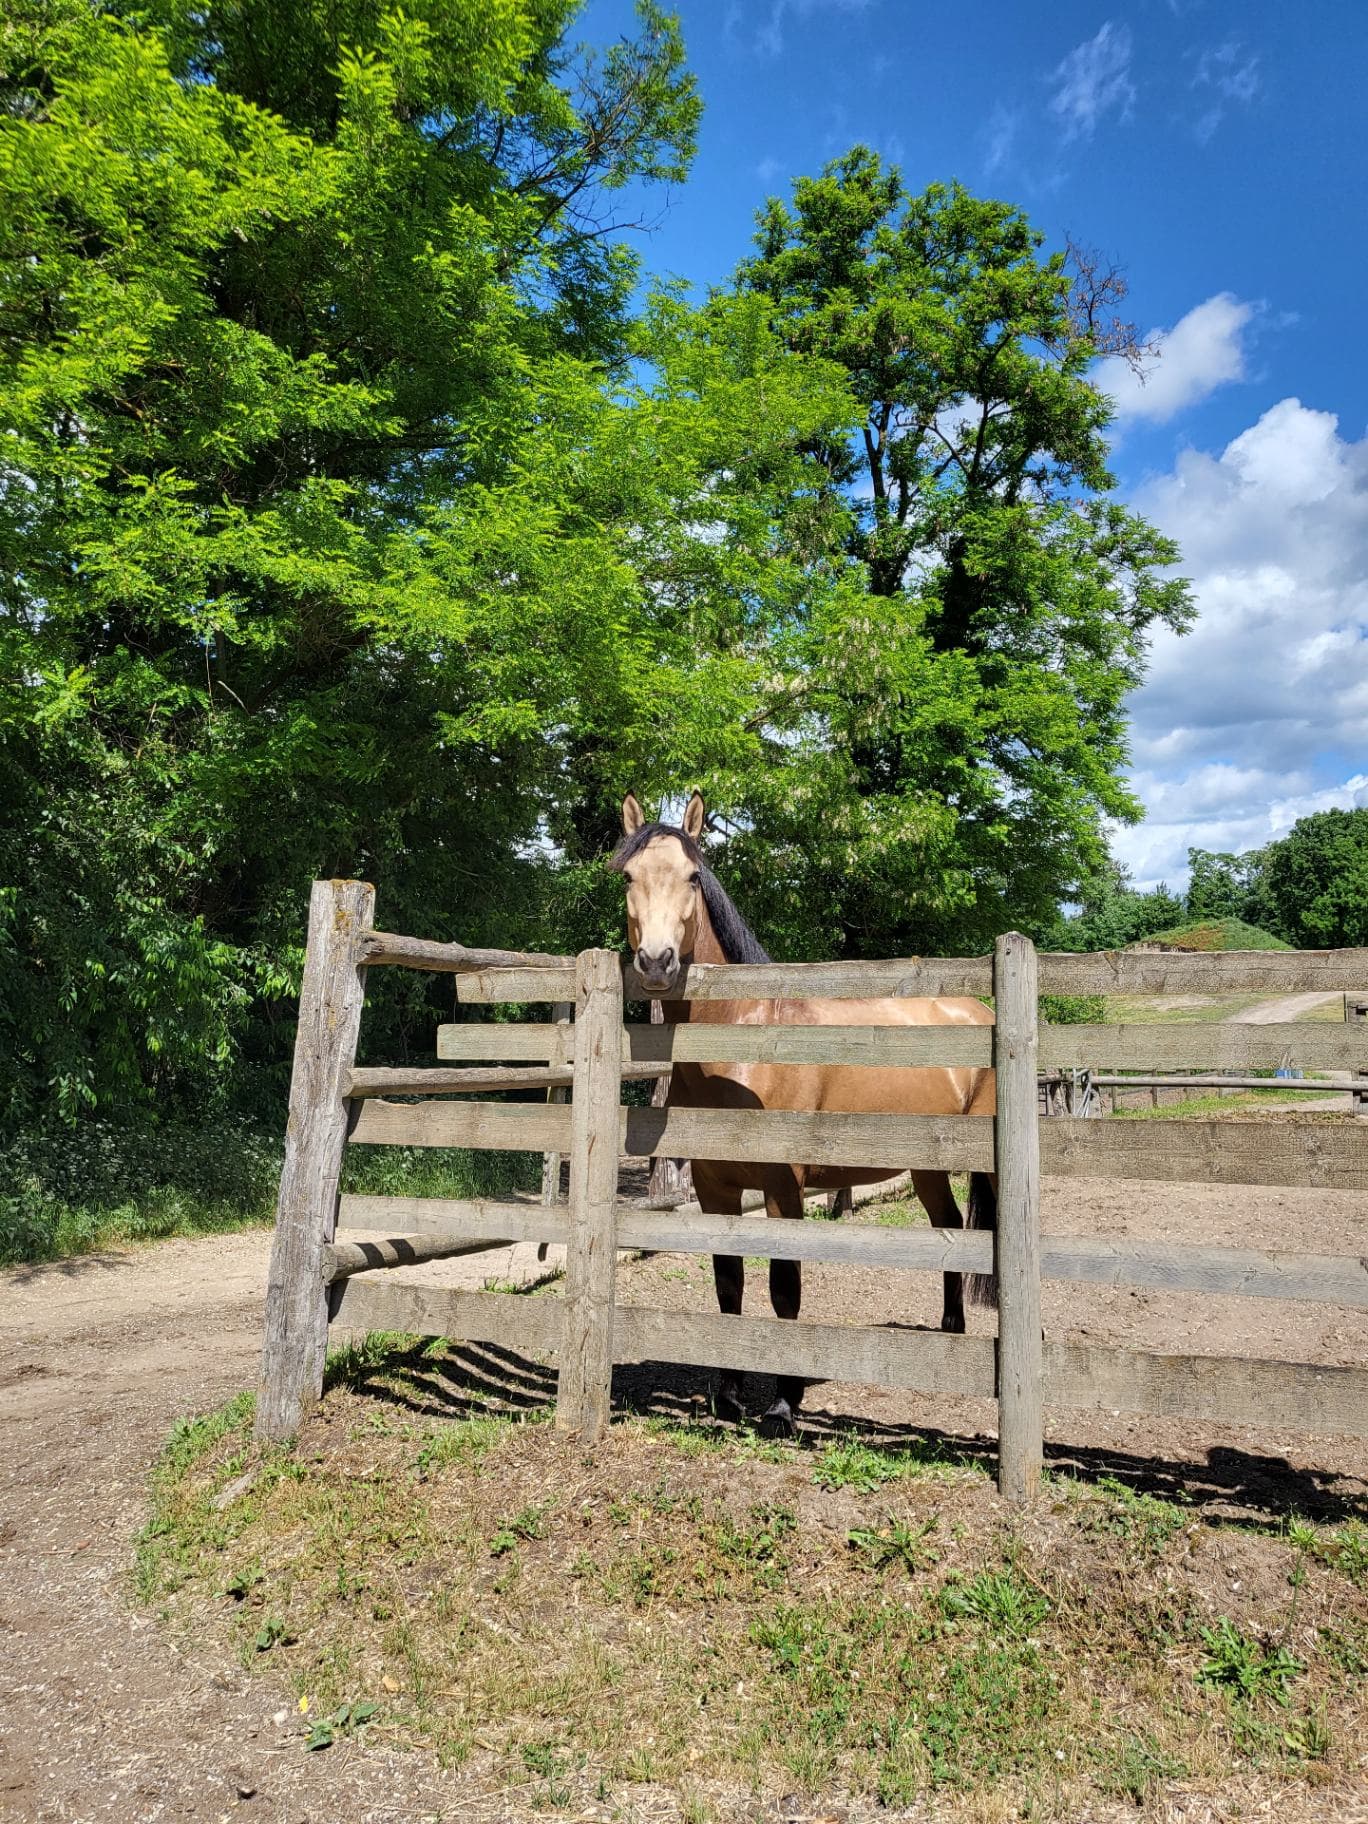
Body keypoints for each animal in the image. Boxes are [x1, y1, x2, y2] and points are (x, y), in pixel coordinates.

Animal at [610, 789, 998, 1435]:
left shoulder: (782, 1189)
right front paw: (728, 1396)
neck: (743, 1045)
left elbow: (784, 1288)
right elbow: (729, 1284)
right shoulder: (715, 1190)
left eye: (693, 876)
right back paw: (949, 1333)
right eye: (628, 876)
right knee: (946, 1230)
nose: (658, 962)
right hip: (926, 1168)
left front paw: (782, 1406)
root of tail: (977, 1010)